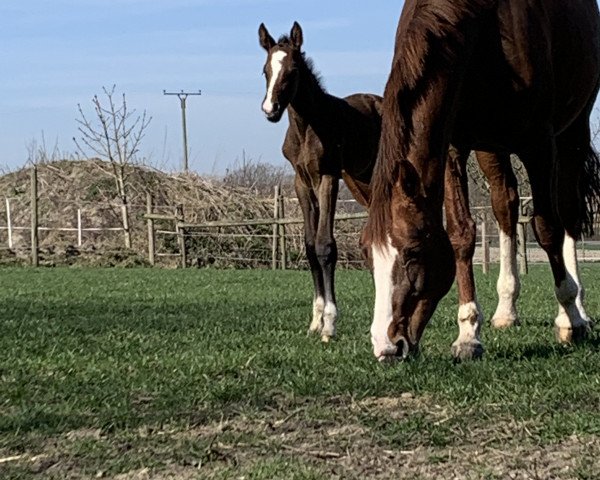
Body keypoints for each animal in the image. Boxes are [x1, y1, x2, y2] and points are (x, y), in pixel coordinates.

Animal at [360, 0, 600, 360]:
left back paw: (578, 310)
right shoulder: (454, 147)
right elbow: (461, 234)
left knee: (567, 212)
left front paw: (569, 319)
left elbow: (547, 228)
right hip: (492, 148)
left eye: (413, 252)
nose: (386, 347)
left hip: (573, 132)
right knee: (506, 205)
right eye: (366, 253)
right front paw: (468, 334)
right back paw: (506, 309)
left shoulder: (540, 143)